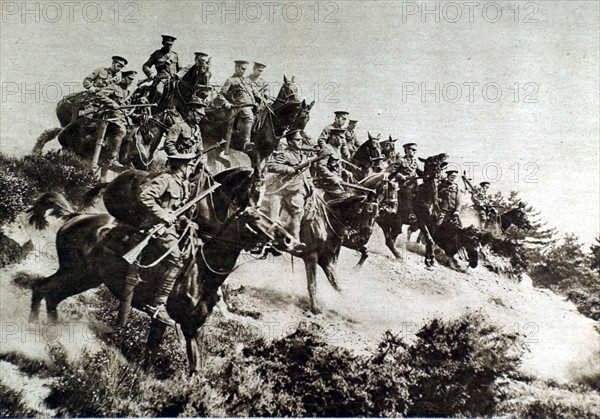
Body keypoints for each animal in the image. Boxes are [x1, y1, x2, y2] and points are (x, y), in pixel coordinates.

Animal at [26, 167, 296, 374]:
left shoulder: (193, 329)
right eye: (254, 218)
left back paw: (53, 334)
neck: (201, 273)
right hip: (75, 273)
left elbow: (196, 369)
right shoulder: (161, 321)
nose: (289, 240)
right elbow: (150, 357)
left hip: (84, 278)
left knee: (51, 295)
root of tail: (75, 216)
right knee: (42, 289)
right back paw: (34, 333)